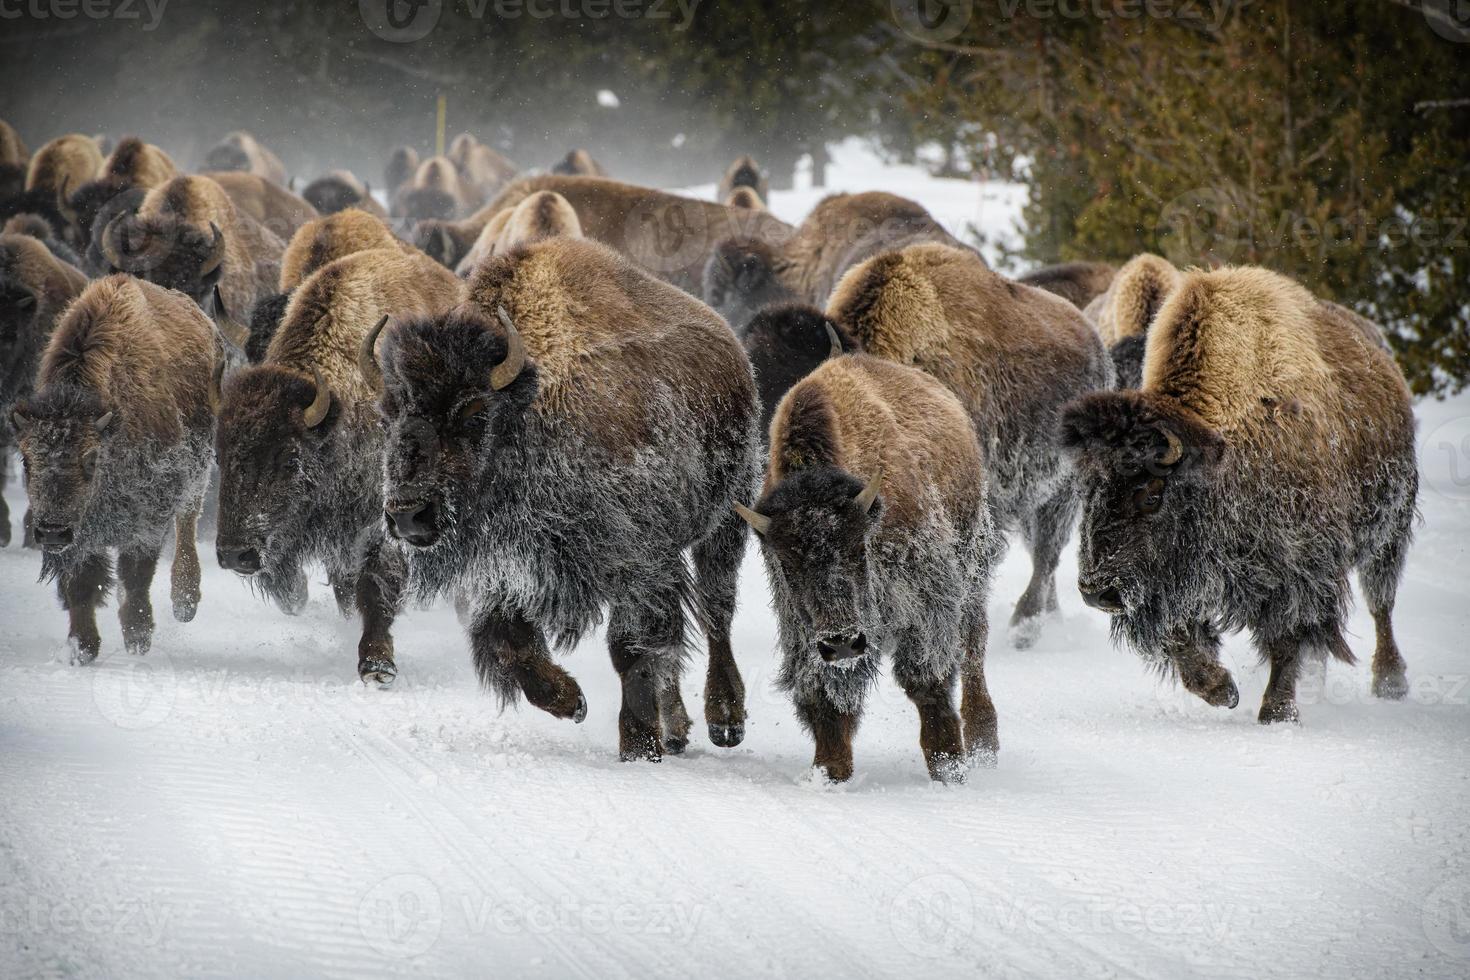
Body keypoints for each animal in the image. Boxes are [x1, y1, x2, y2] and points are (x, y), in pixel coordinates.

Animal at [9, 271, 217, 664]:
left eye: (91, 458)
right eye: (26, 460)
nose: (51, 532)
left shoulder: (147, 518)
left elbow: (136, 577)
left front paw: (138, 639)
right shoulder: (78, 535)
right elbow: (82, 584)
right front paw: (82, 648)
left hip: (198, 469)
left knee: (187, 522)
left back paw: (185, 601)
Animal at [213, 243, 458, 681]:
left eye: (290, 460)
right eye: (219, 455)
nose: (234, 554)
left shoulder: (383, 522)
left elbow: (375, 585)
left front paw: (377, 666)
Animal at [370, 235, 758, 758]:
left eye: (474, 411)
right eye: (389, 412)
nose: (407, 515)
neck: (534, 407)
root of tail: (733, 346)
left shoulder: (634, 563)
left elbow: (632, 648)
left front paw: (638, 746)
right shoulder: (508, 570)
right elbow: (509, 642)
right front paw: (573, 701)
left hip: (726, 519)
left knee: (718, 611)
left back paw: (725, 721)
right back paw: (677, 731)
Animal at [735, 357, 999, 787]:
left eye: (858, 546)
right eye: (787, 564)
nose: (842, 642)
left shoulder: (925, 609)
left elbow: (928, 683)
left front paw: (948, 769)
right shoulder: (805, 634)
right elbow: (827, 699)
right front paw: (831, 772)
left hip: (972, 575)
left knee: (972, 650)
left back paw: (983, 744)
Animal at [1064, 264, 1417, 725]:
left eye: (1152, 495)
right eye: (1086, 491)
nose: (1095, 591)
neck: (1222, 450)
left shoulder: (1295, 569)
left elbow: (1287, 636)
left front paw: (1276, 713)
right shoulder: (1177, 583)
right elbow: (1180, 636)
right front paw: (1223, 691)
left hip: (1389, 526)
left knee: (1381, 602)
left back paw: (1390, 683)